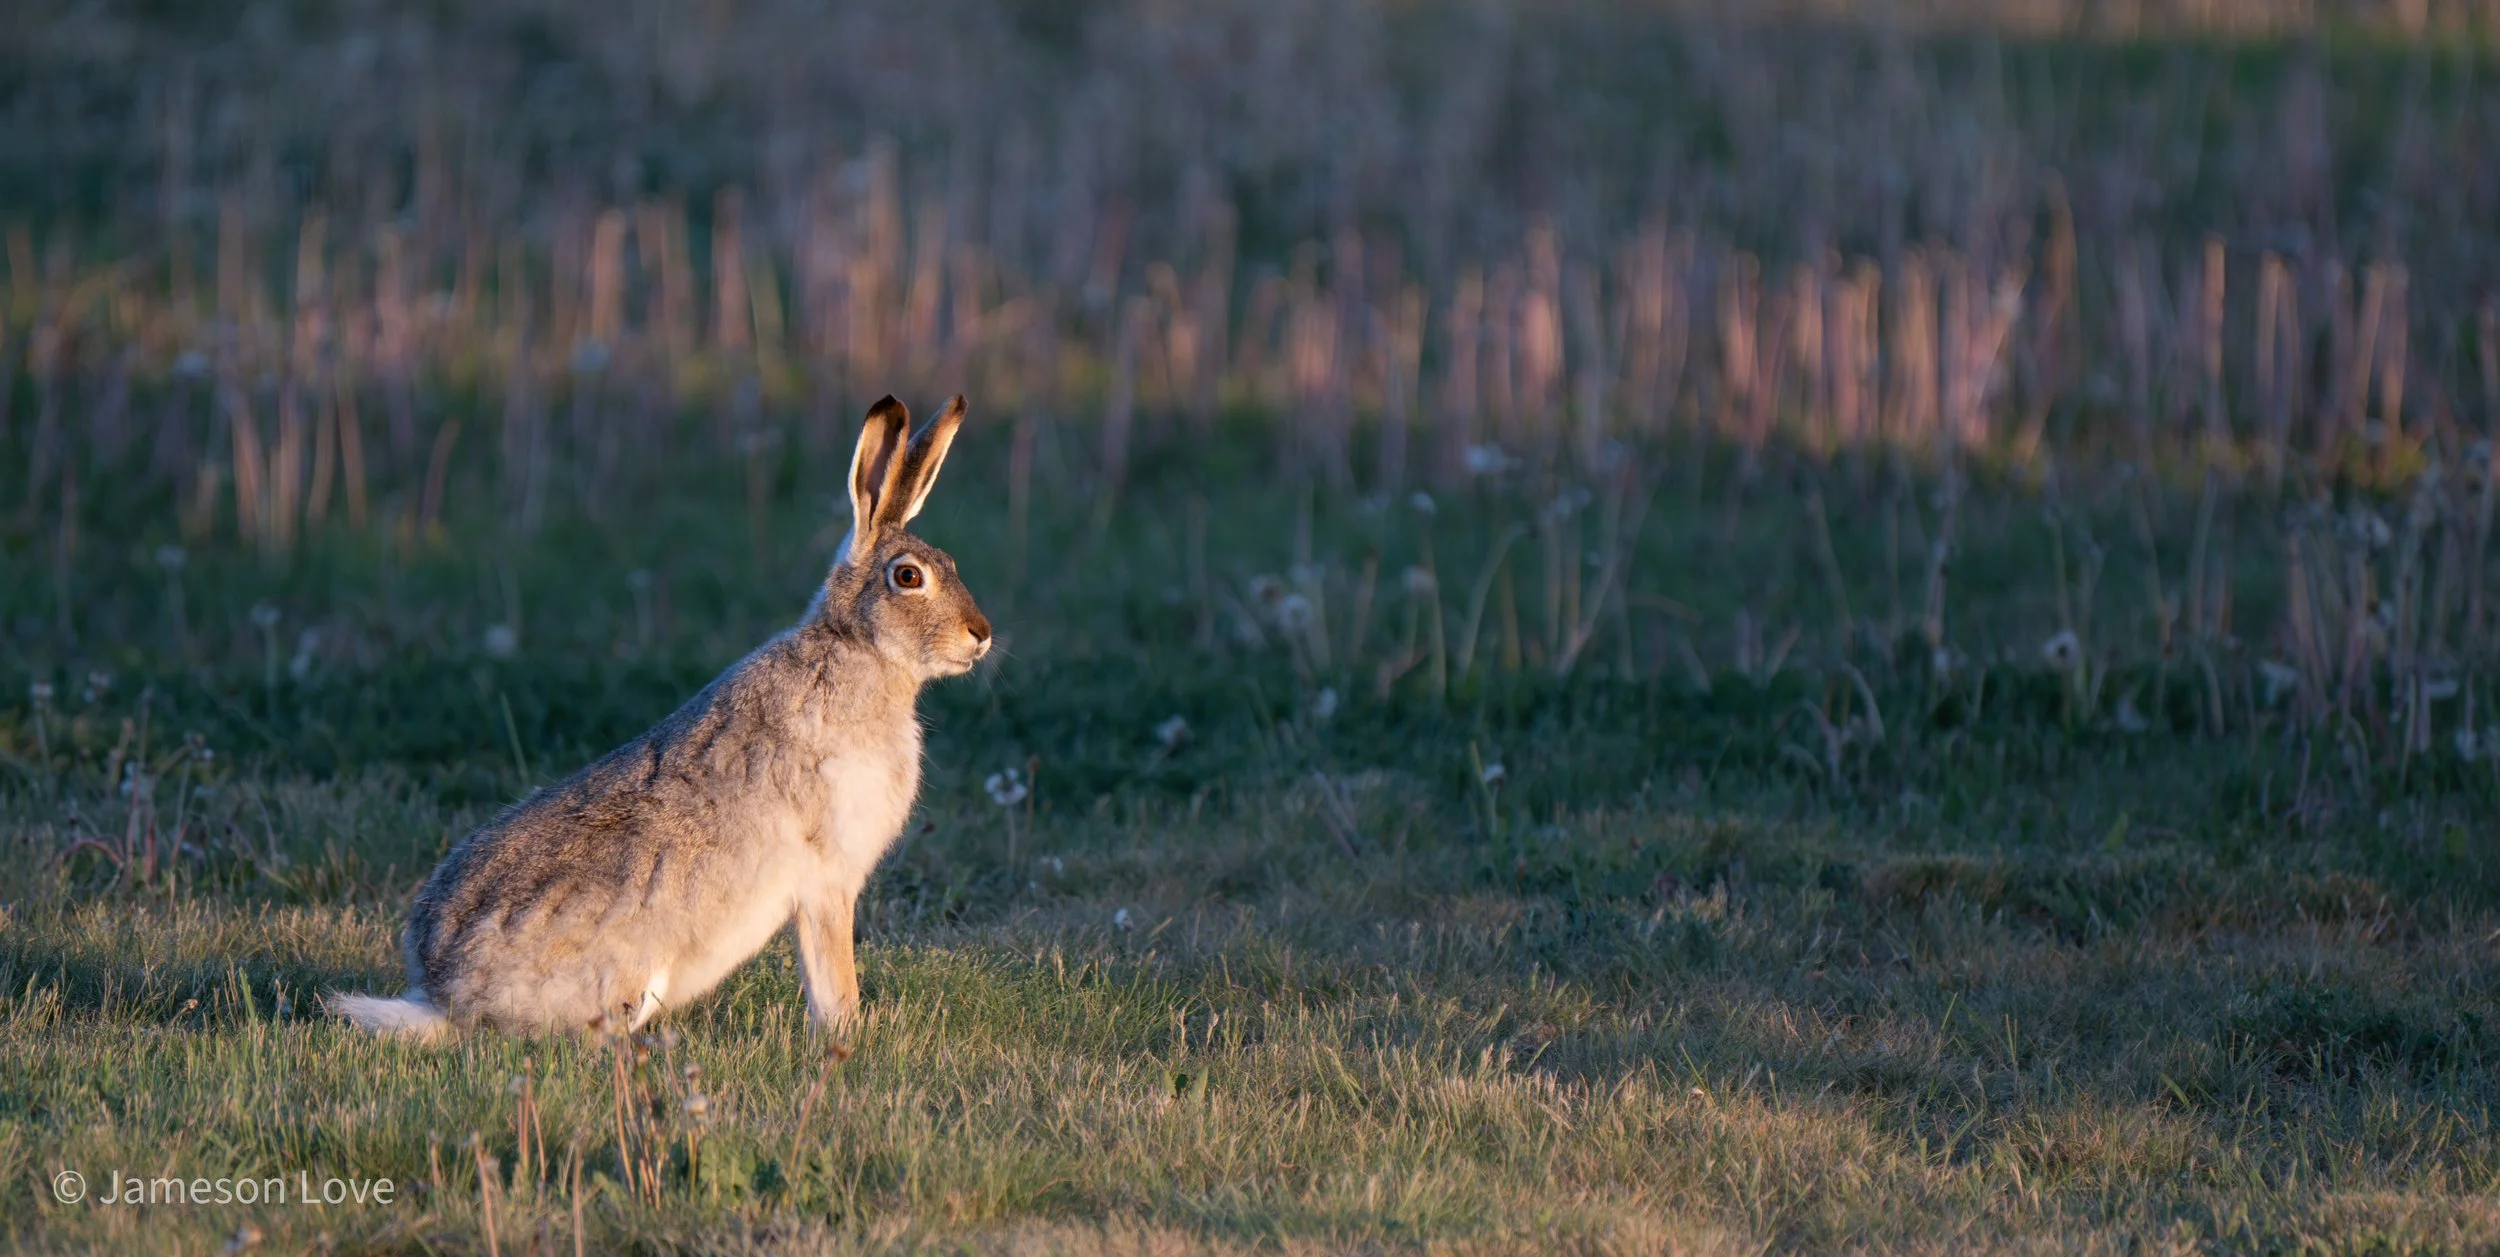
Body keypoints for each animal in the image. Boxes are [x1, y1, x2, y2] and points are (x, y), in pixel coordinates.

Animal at [331, 395, 991, 1040]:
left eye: (953, 562)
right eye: (908, 576)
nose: (981, 635)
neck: (861, 651)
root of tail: (445, 999)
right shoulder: (827, 883)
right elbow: (834, 979)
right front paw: (843, 1040)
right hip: (634, 982)